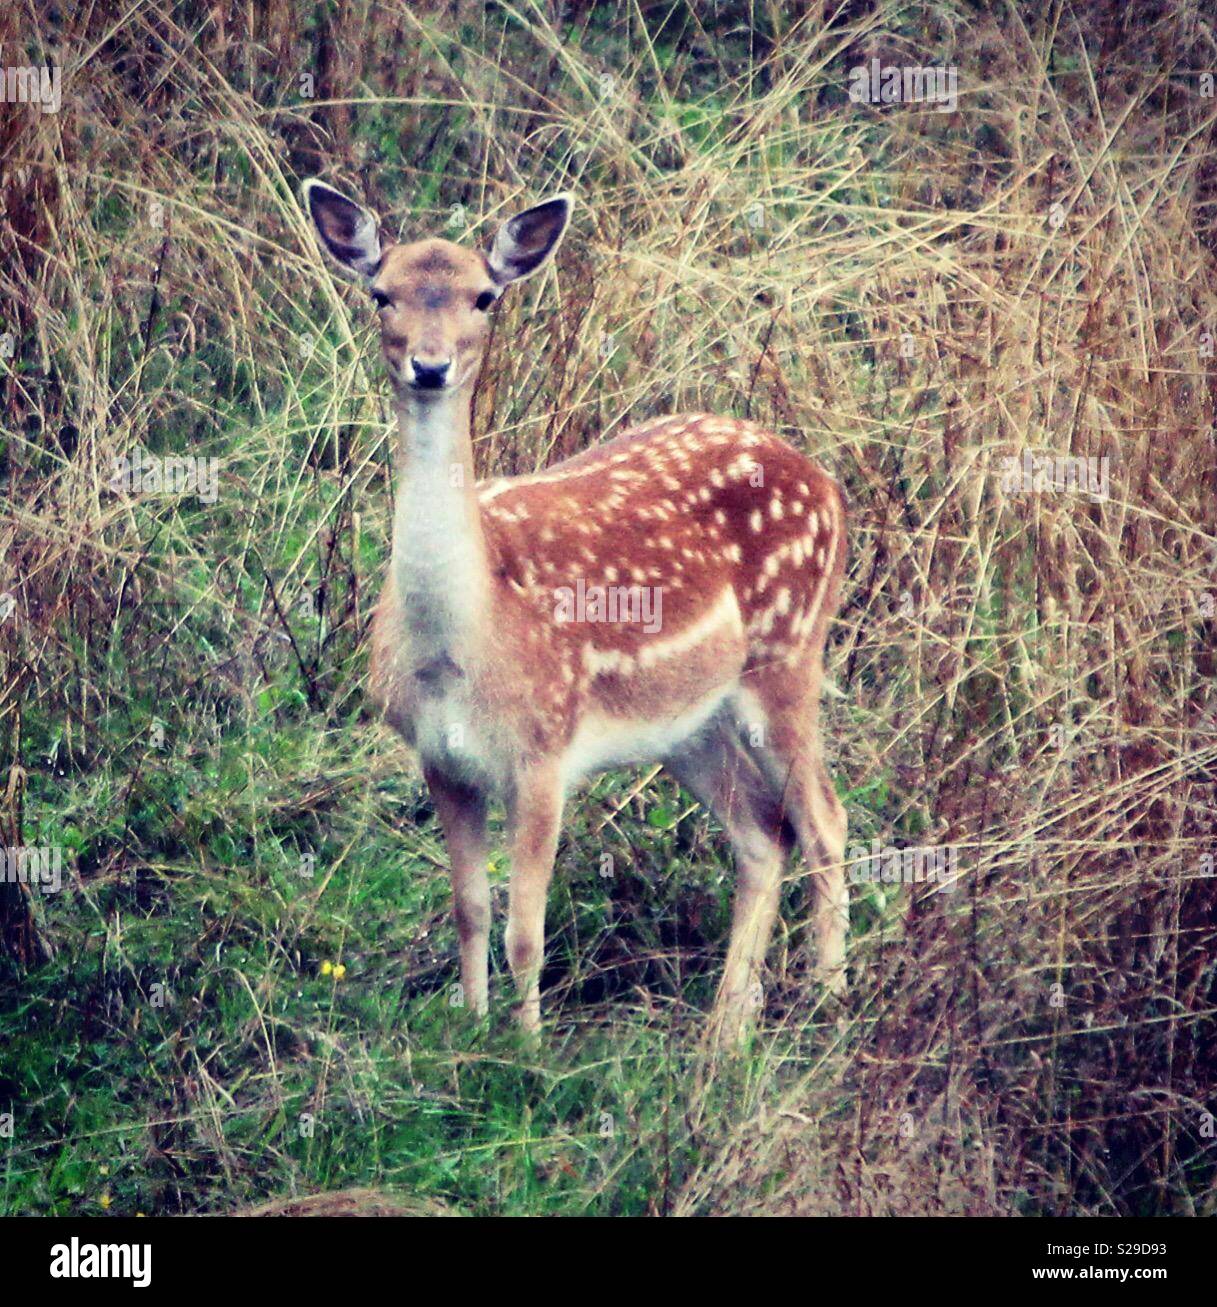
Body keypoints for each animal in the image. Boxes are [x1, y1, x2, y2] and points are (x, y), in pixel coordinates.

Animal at [304, 181, 852, 1040]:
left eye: (484, 296)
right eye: (381, 293)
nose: (430, 365)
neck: (460, 645)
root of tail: (829, 485)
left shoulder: (542, 749)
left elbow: (525, 927)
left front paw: (525, 1047)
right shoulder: (438, 756)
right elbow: (468, 907)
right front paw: (470, 1031)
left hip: (789, 652)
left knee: (825, 823)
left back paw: (827, 1003)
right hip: (687, 722)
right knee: (763, 832)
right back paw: (724, 1031)